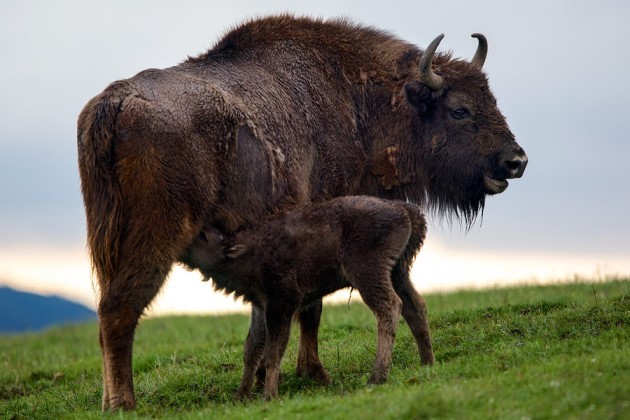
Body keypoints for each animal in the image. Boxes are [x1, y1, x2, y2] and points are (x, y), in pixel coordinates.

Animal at [180, 197, 432, 400]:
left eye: (203, 235)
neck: (248, 251)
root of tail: (406, 210)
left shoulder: (282, 303)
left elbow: (274, 351)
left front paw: (269, 396)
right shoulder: (261, 306)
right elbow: (251, 349)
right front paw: (240, 396)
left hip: (369, 274)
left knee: (390, 307)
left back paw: (376, 377)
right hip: (398, 272)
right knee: (415, 307)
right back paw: (427, 363)